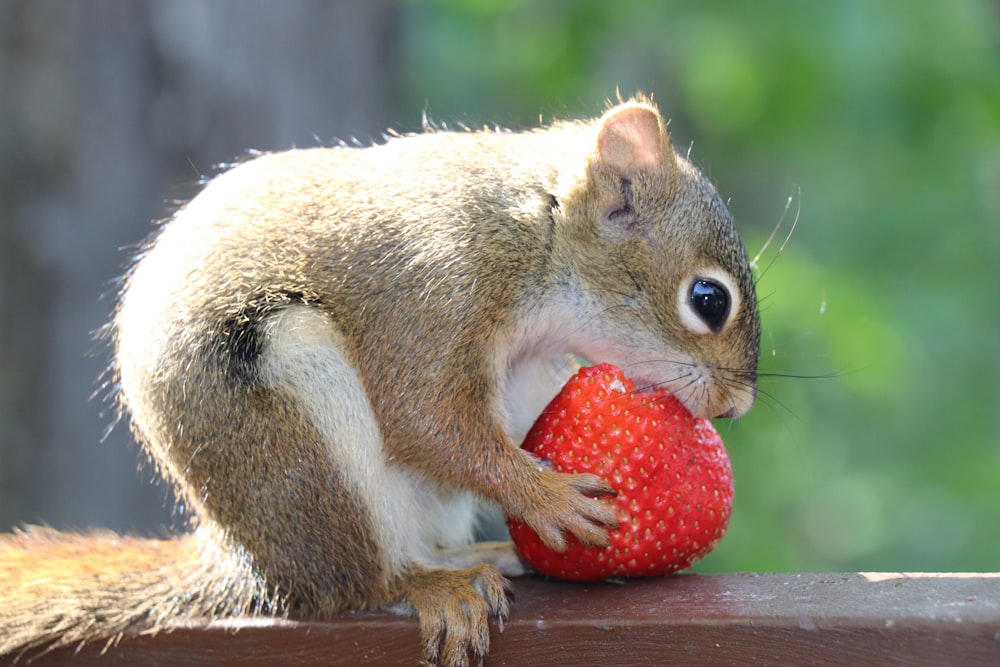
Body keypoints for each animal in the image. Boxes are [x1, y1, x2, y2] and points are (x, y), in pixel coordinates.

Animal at [0, 95, 756, 667]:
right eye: (708, 299)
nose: (737, 406)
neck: (534, 233)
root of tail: (251, 563)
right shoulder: (432, 287)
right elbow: (422, 416)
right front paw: (549, 497)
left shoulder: (535, 364)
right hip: (300, 431)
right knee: (360, 582)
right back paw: (428, 584)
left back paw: (481, 555)